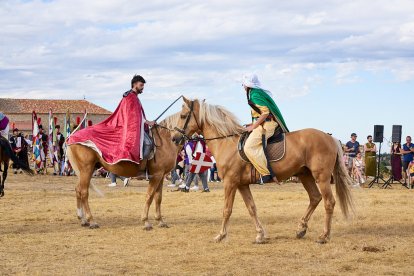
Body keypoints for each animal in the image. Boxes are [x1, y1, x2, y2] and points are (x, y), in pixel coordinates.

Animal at [173, 97, 354, 244]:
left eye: (183, 116)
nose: (174, 138)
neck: (227, 142)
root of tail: (330, 137)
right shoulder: (242, 185)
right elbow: (251, 208)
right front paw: (260, 235)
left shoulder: (230, 183)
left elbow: (227, 210)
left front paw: (221, 235)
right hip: (305, 175)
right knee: (315, 198)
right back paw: (301, 228)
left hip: (321, 178)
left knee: (329, 202)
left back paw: (324, 236)